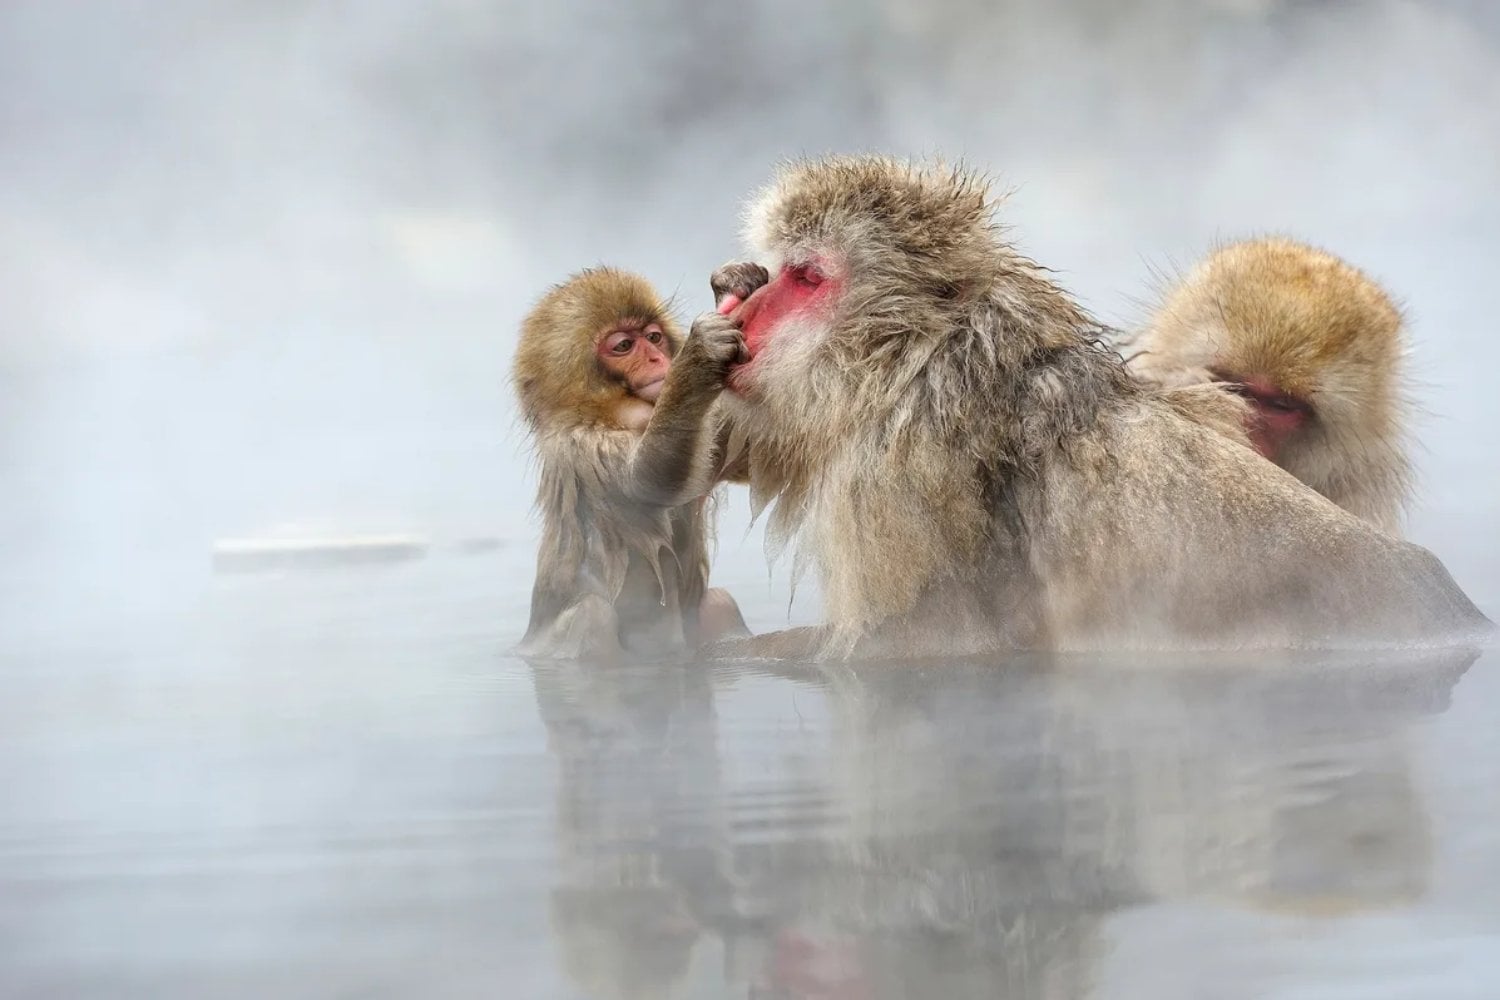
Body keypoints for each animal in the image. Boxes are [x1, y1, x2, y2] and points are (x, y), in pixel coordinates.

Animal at [513, 267, 751, 661]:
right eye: (623, 346)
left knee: (720, 604)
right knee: (593, 614)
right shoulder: (585, 445)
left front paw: (734, 283)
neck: (613, 415)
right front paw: (699, 355)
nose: (658, 359)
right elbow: (649, 479)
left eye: (654, 337)